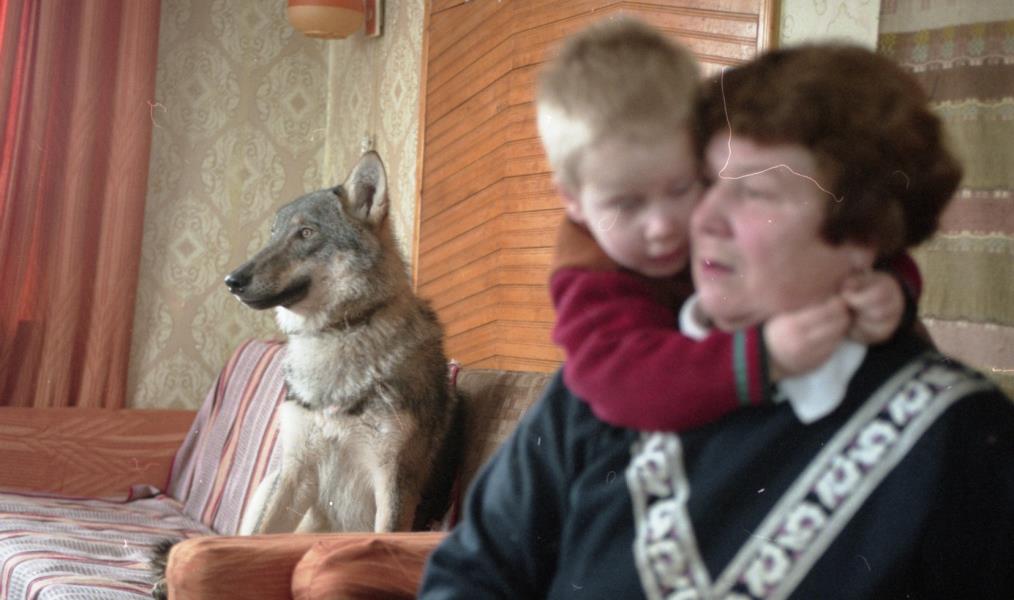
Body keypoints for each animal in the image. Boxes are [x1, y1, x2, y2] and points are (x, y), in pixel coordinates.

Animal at [151, 151, 461, 598]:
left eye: (306, 233)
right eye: (273, 236)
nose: (231, 280)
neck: (336, 337)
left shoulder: (393, 483)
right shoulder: (297, 473)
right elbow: (254, 541)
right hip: (271, 480)